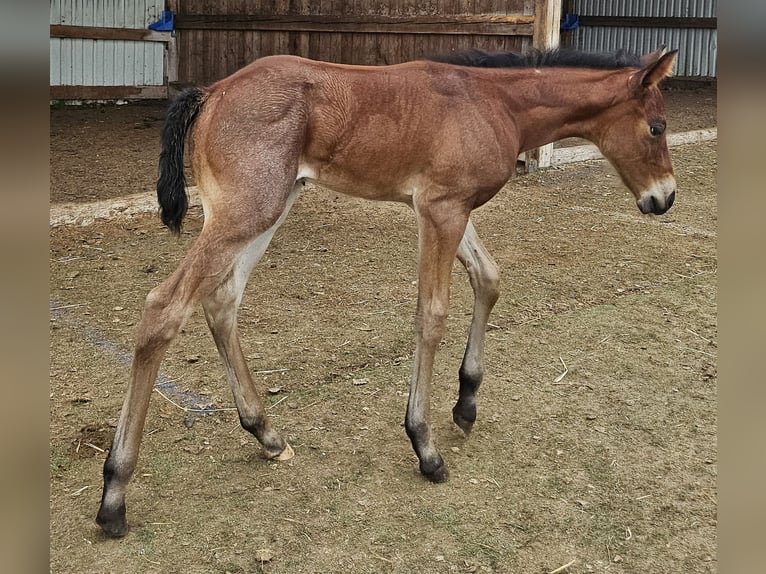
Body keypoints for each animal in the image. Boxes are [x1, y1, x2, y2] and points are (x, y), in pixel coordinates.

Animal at [96, 46, 677, 537]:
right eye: (656, 126)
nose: (665, 198)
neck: (494, 102)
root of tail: (212, 92)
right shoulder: (441, 209)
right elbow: (432, 314)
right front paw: (424, 445)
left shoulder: (448, 207)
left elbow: (488, 279)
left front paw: (466, 402)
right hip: (244, 212)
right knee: (164, 308)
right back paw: (114, 493)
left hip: (267, 209)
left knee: (222, 299)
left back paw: (266, 433)